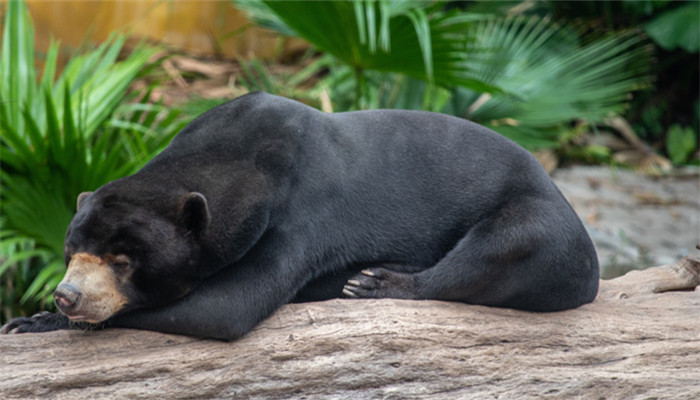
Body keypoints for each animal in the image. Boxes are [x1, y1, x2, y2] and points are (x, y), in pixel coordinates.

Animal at [1, 92, 599, 340]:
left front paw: (37, 322)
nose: (66, 295)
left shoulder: (297, 216)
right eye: (72, 251)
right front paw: (30, 318)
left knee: (497, 250)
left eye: (122, 259)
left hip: (540, 221)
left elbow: (225, 307)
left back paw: (372, 283)